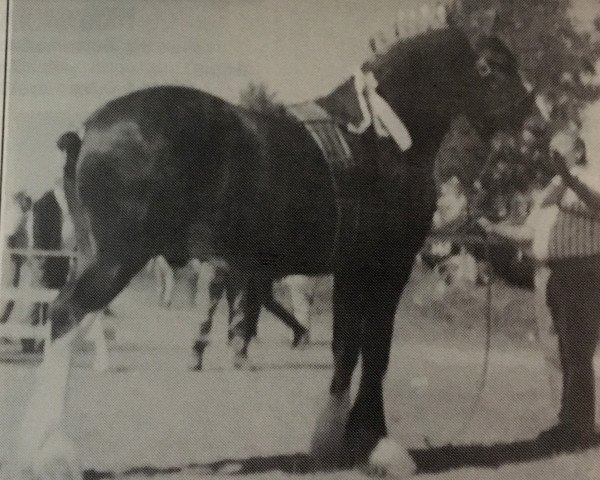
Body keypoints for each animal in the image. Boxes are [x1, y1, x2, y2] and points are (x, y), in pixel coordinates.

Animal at [15, 17, 536, 476]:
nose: (531, 119)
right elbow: (377, 350)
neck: (382, 137)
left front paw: (331, 442)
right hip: (116, 259)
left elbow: (346, 348)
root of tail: (88, 129)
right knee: (65, 315)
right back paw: (52, 453)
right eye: (490, 66)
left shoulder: (351, 269)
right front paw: (379, 446)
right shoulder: (388, 266)